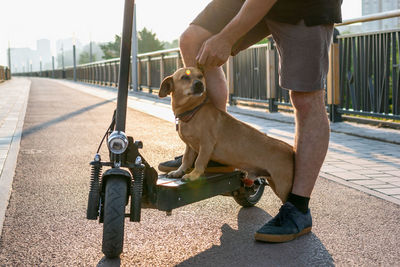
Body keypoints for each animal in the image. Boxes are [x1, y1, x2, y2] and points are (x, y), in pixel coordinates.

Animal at [159, 67, 294, 203]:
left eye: (201, 76)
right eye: (184, 77)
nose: (199, 84)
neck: (194, 111)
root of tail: (291, 149)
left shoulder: (206, 145)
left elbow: (199, 162)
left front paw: (193, 175)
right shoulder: (190, 146)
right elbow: (186, 160)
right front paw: (178, 171)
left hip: (283, 187)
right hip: (273, 182)